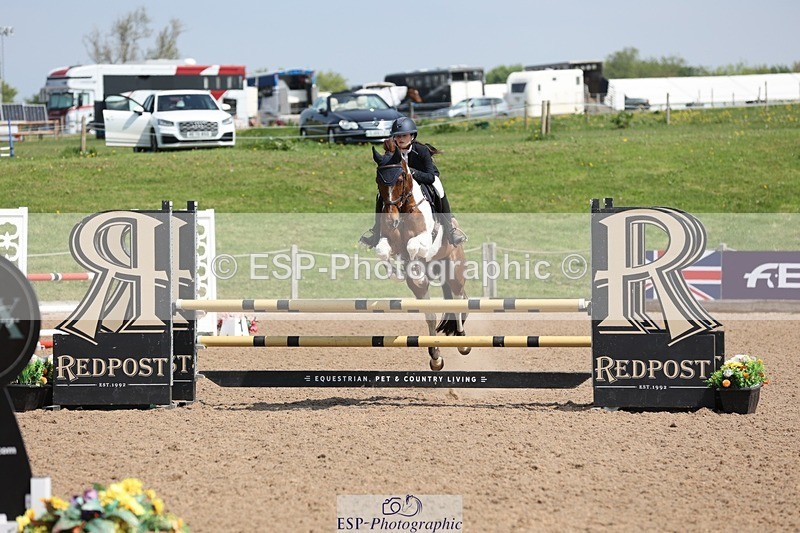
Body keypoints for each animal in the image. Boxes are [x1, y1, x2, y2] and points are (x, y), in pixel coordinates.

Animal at [371, 145, 470, 371]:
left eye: (400, 178)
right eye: (378, 181)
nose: (390, 221)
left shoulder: (424, 237)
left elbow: (413, 246)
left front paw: (414, 266)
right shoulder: (386, 240)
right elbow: (383, 252)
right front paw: (399, 272)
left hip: (454, 272)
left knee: (458, 300)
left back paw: (462, 342)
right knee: (430, 314)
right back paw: (435, 356)